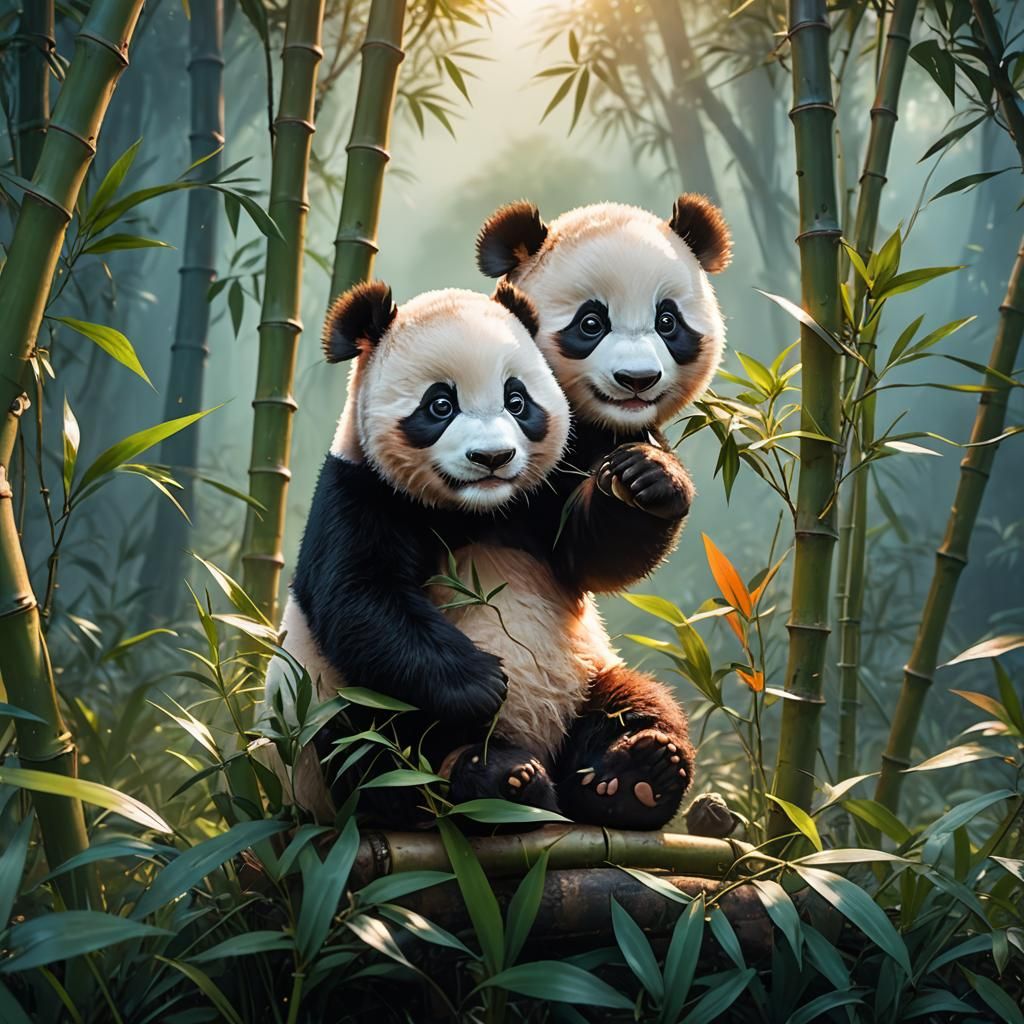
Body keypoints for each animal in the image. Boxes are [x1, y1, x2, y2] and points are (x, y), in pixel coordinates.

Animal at [259, 282, 573, 825]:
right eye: (440, 406)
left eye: (516, 401)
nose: (492, 458)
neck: (464, 509)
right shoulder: (358, 493)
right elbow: (361, 597)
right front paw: (483, 682)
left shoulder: (537, 502)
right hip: (316, 705)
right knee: (358, 740)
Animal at [441, 194, 733, 830]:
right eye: (591, 323)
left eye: (668, 321)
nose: (637, 380)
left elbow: (590, 556)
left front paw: (647, 480)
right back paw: (490, 779)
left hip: (587, 675)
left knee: (636, 700)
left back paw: (636, 778)